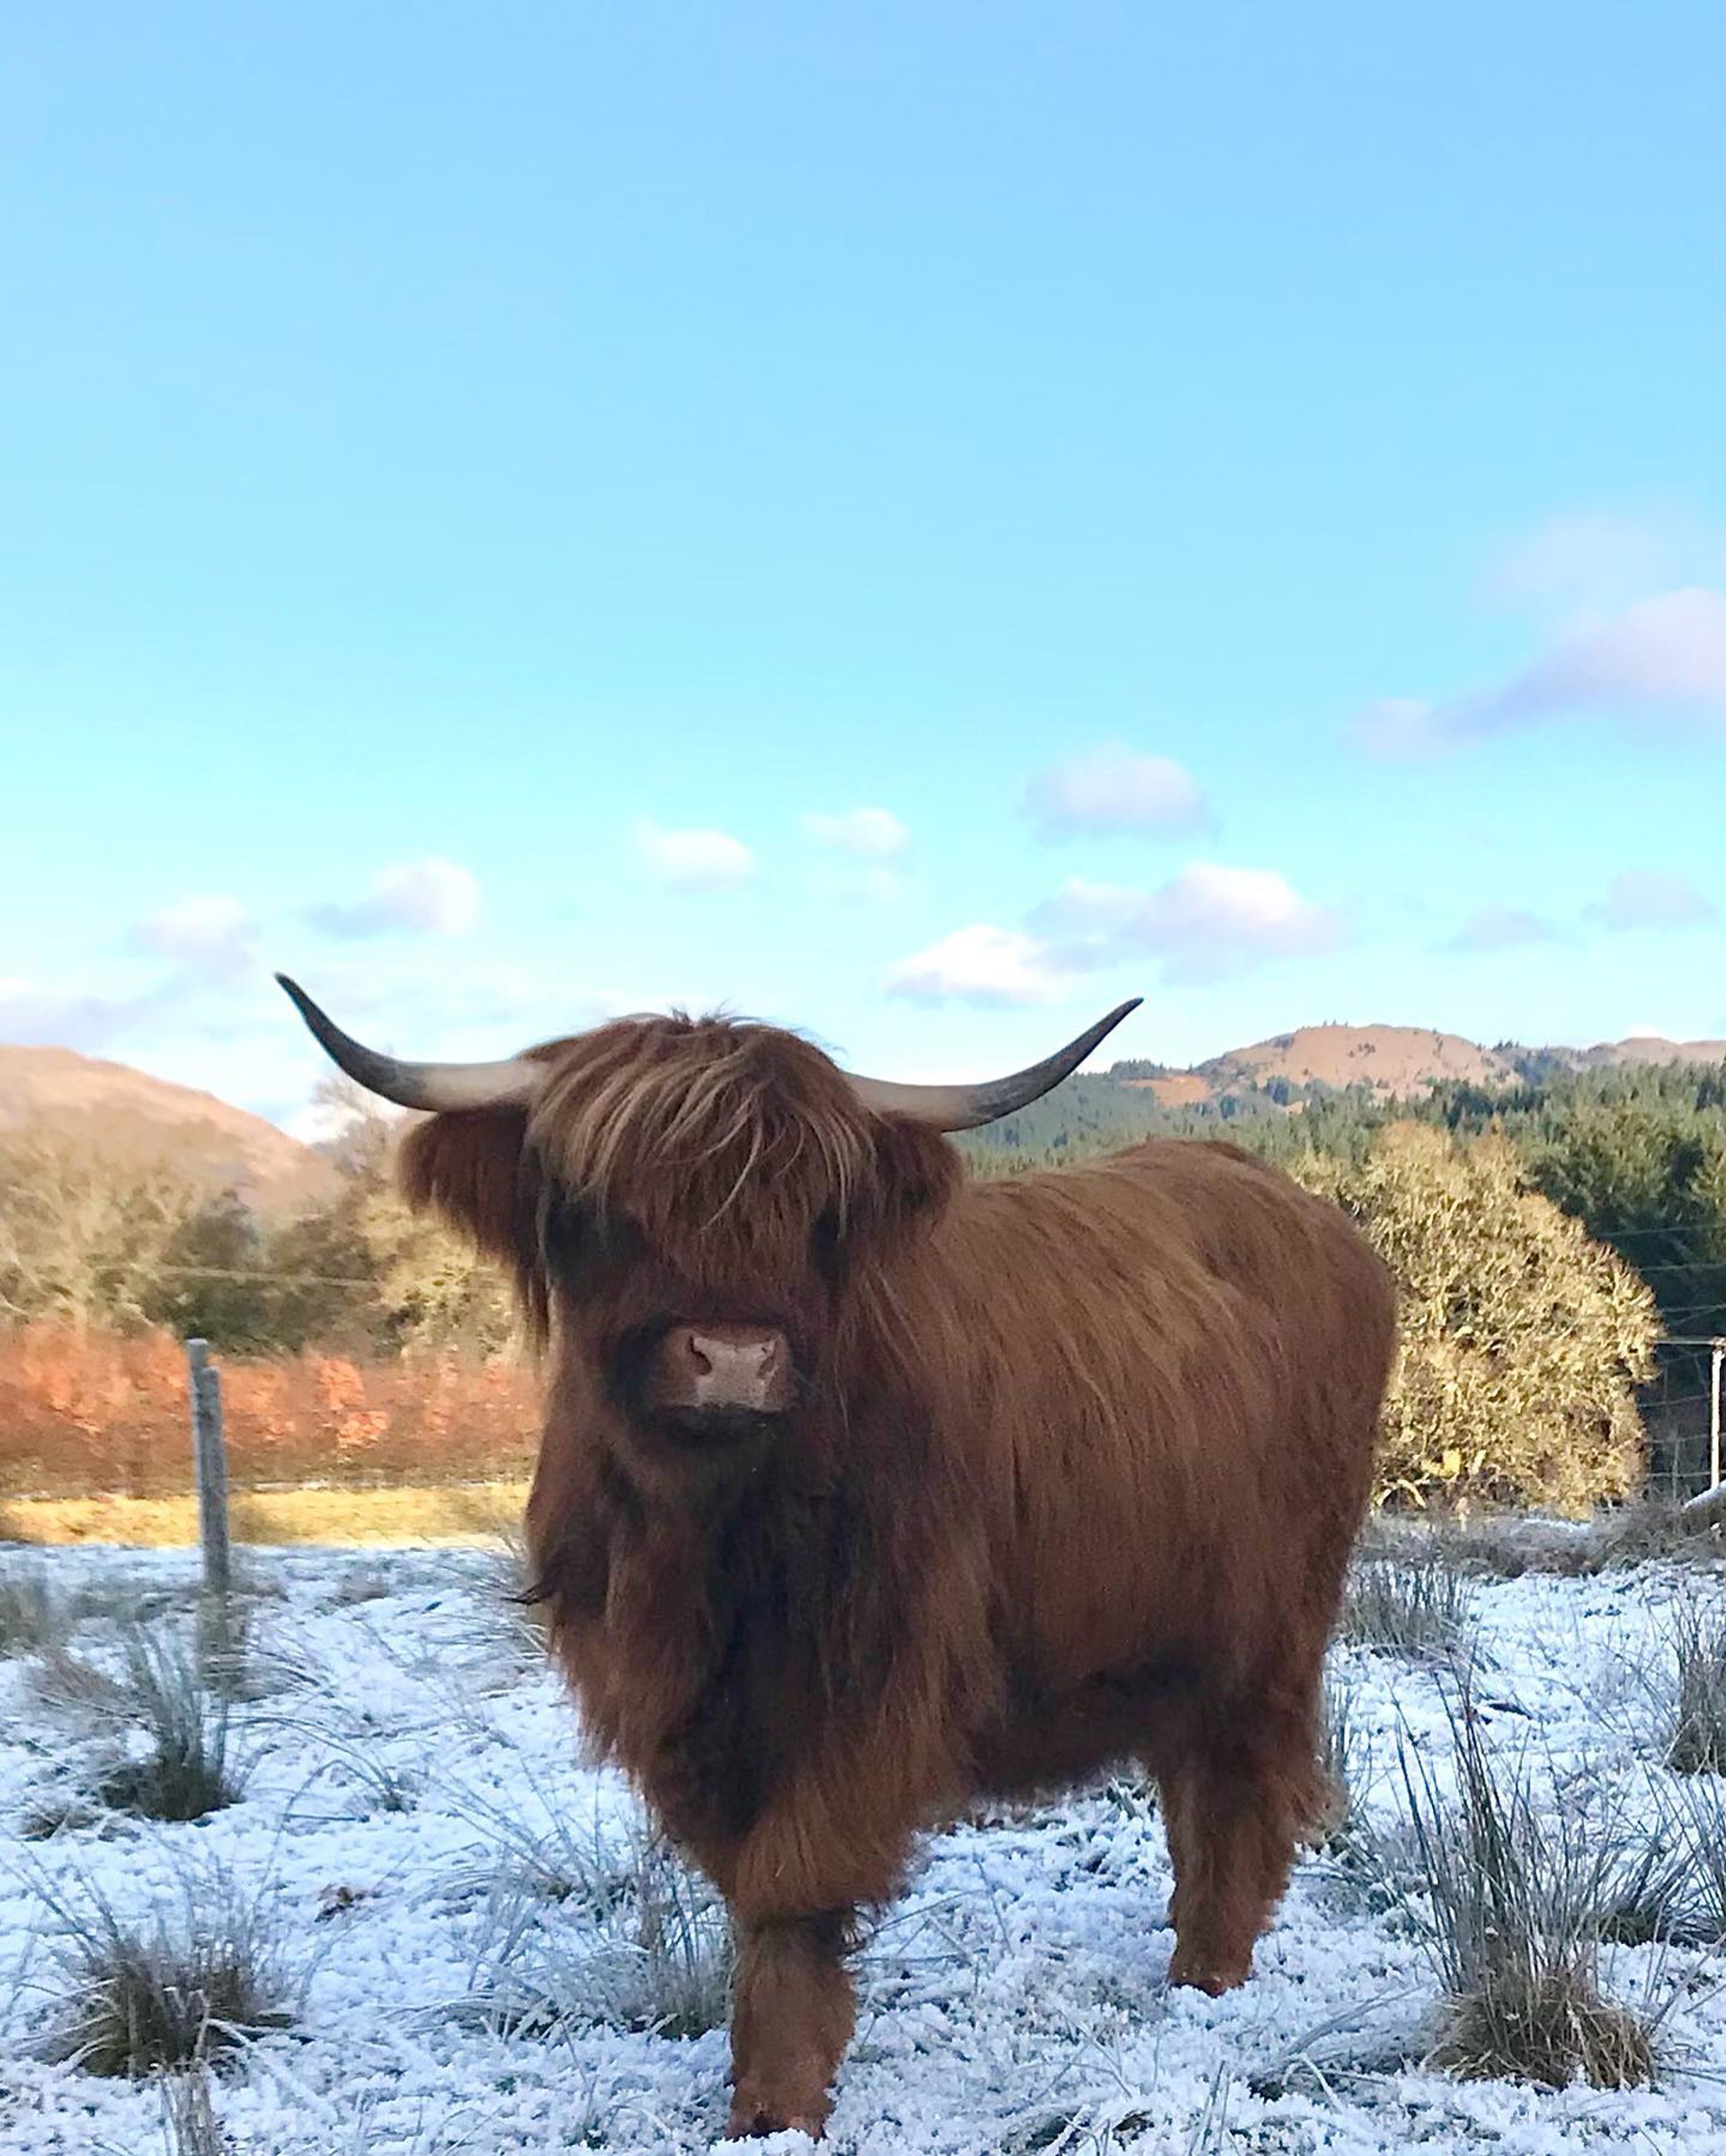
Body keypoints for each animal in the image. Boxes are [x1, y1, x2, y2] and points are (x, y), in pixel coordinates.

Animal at [280, 979, 1389, 2138]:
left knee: (1243, 1779)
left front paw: (777, 2102)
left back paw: (1211, 1972)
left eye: (814, 1209)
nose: (732, 1357)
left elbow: (793, 1878)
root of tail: (1292, 1204)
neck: (704, 1539)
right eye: (603, 1203)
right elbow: (743, 1873)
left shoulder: (872, 1675)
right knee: (1194, 1778)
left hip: (1279, 1619)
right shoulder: (666, 1699)